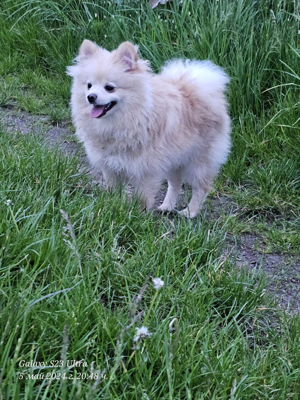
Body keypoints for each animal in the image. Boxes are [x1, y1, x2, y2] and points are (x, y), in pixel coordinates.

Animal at [66, 39, 230, 217]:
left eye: (109, 87)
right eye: (89, 85)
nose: (91, 97)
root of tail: (196, 88)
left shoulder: (145, 169)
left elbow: (142, 197)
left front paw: (137, 215)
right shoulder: (110, 166)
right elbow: (113, 191)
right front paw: (111, 206)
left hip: (199, 161)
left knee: (201, 188)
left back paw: (190, 212)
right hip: (174, 160)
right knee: (175, 183)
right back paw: (166, 207)